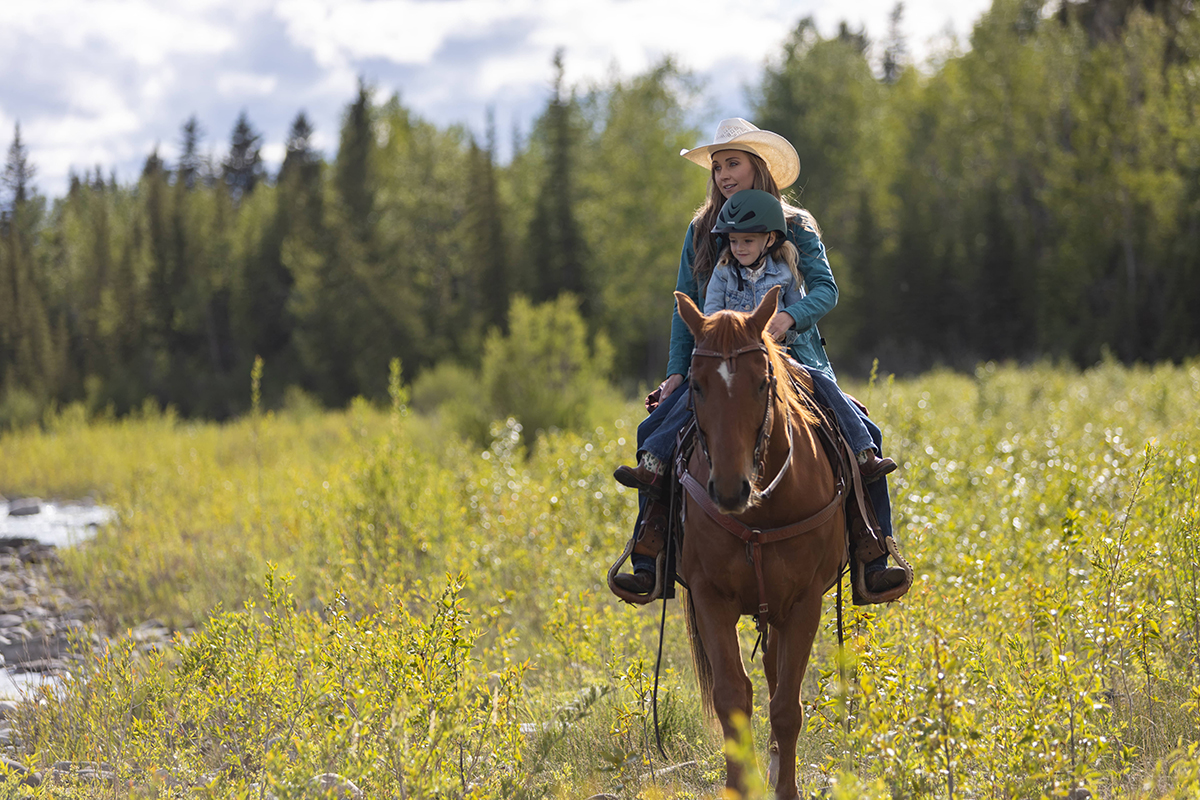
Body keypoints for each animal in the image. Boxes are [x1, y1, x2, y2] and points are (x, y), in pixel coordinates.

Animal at [676, 284, 844, 796]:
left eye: (762, 383)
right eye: (696, 385)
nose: (730, 490)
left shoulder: (805, 602)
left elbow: (787, 706)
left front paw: (785, 787)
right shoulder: (711, 597)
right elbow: (733, 697)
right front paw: (739, 785)